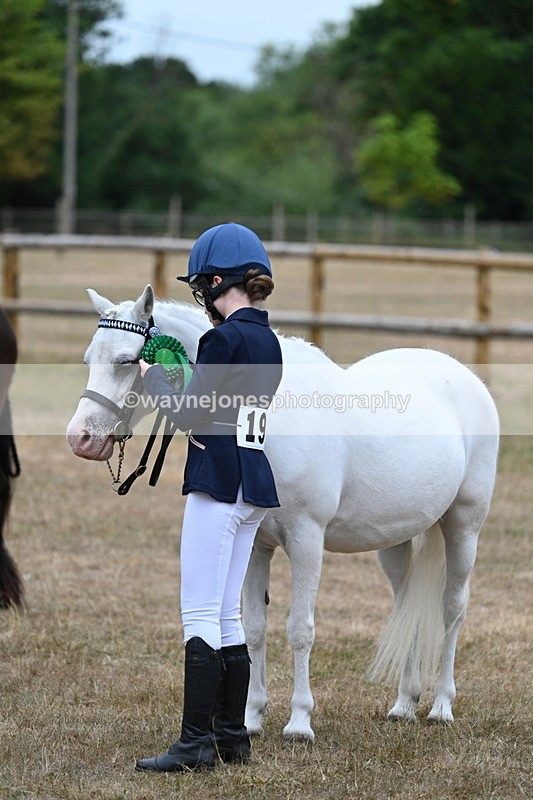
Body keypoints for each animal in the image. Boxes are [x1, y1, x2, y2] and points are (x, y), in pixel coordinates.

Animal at [66, 285, 499, 739]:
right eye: (88, 359)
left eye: (126, 361)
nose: (81, 439)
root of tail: (465, 376)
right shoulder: (257, 545)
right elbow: (255, 629)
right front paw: (251, 717)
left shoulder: (307, 541)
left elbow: (300, 629)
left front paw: (299, 722)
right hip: (395, 541)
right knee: (408, 604)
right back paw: (403, 704)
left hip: (464, 526)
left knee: (453, 607)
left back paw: (441, 706)